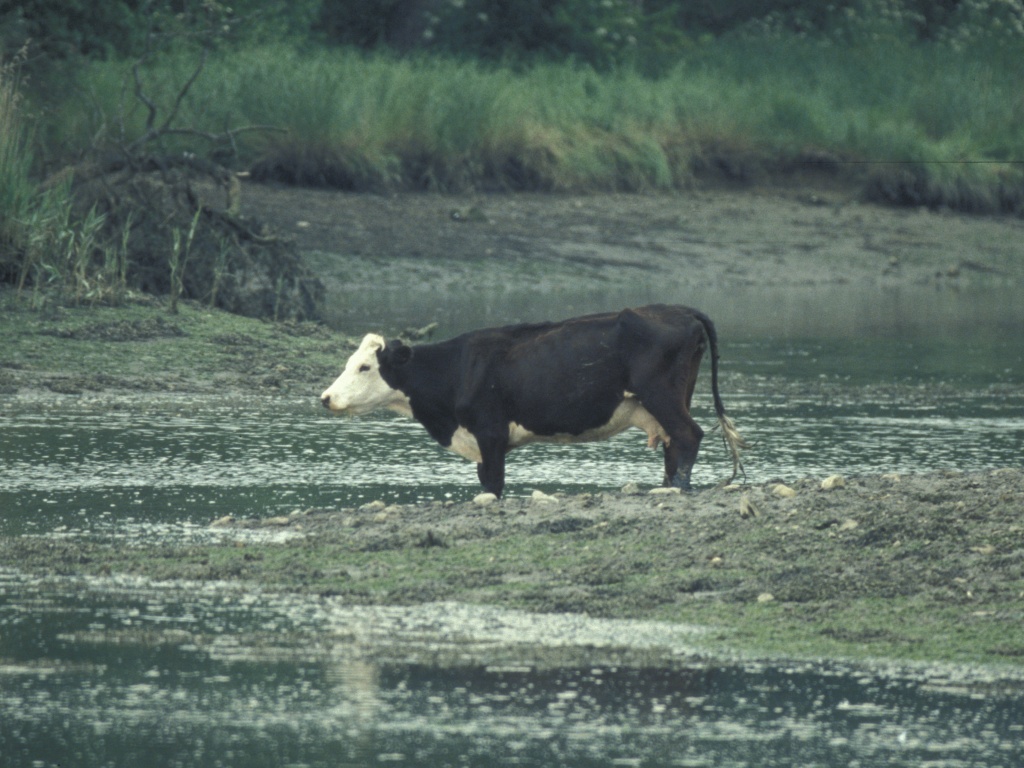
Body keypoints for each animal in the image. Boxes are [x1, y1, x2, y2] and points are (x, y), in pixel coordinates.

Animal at [320, 304, 746, 498]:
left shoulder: (490, 433)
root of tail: (678, 309)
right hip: (668, 400)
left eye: (364, 367)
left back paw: (676, 488)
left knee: (688, 436)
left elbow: (493, 483)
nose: (326, 398)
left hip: (662, 395)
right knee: (675, 444)